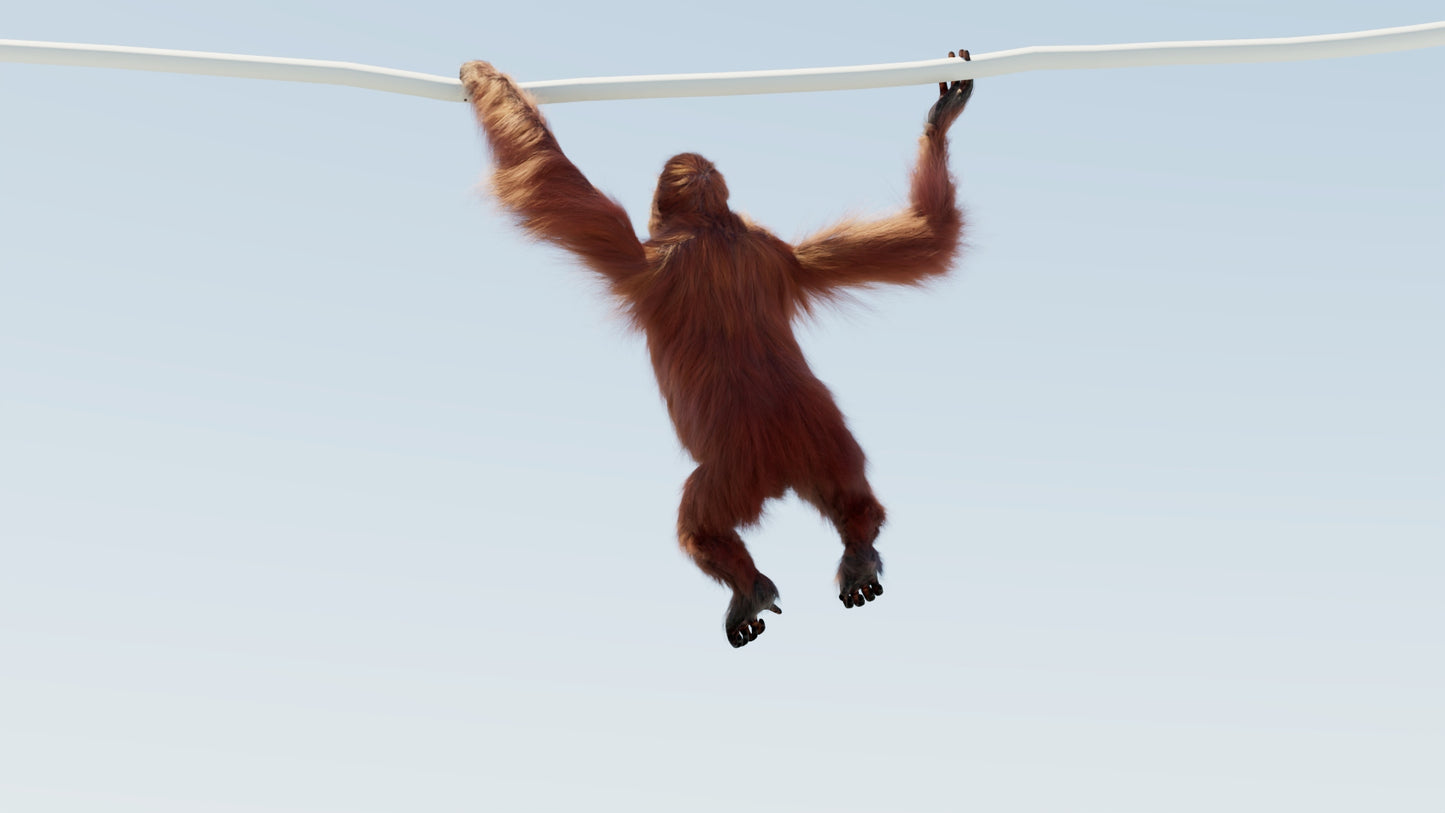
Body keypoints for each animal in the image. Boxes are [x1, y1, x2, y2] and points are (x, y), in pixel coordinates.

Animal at [461, 51, 972, 648]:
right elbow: (924, 239)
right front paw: (940, 118)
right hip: (830, 444)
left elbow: (550, 182)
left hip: (733, 474)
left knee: (700, 526)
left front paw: (478, 74)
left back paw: (750, 588)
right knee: (850, 497)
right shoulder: (781, 253)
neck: (713, 230)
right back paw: (860, 547)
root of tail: (780, 465)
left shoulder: (646, 260)